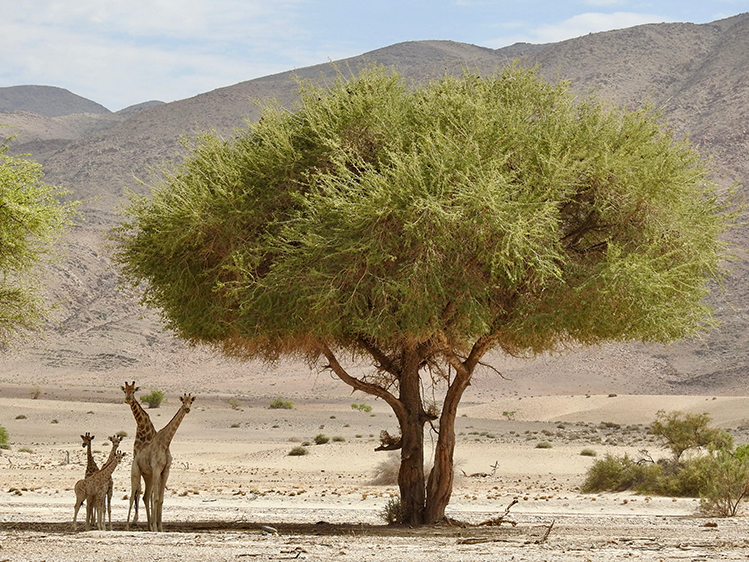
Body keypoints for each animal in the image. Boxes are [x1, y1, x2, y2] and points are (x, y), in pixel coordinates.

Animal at [132, 394, 195, 532]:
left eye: (191, 401)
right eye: (183, 401)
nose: (187, 409)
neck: (166, 443)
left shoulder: (166, 471)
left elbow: (160, 500)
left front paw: (160, 528)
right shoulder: (156, 469)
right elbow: (155, 499)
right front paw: (156, 528)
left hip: (148, 476)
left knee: (145, 496)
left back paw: (148, 526)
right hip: (138, 472)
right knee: (137, 493)